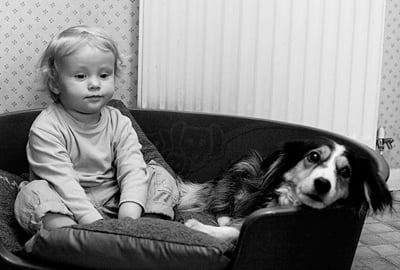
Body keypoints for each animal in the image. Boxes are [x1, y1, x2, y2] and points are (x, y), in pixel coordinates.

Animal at [177, 138, 392, 242]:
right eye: (313, 156)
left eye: (345, 171)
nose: (323, 183)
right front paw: (197, 225)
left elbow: (235, 232)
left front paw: (198, 226)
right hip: (246, 164)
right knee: (218, 203)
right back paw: (224, 215)